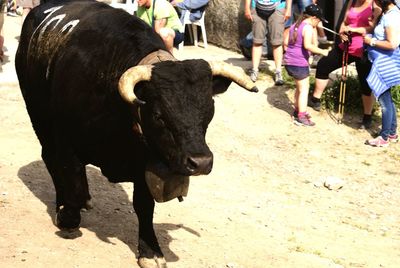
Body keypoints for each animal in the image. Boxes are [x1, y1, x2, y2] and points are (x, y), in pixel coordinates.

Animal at [14, 1, 256, 266]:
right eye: (159, 115)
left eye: (209, 111)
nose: (200, 162)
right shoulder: (67, 140)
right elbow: (73, 184)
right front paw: (68, 215)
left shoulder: (145, 161)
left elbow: (144, 206)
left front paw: (150, 250)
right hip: (37, 113)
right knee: (50, 159)